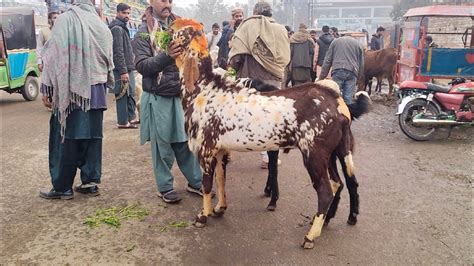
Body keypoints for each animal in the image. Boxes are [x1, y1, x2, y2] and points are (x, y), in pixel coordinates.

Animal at [168, 19, 372, 249]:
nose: (165, 32)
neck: (204, 90)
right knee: (338, 183)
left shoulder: (206, 148)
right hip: (334, 152)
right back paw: (324, 221)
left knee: (326, 190)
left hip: (315, 153)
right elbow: (221, 180)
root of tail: (337, 104)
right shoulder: (220, 150)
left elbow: (206, 185)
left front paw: (202, 216)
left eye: (176, 31)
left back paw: (310, 236)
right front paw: (219, 208)